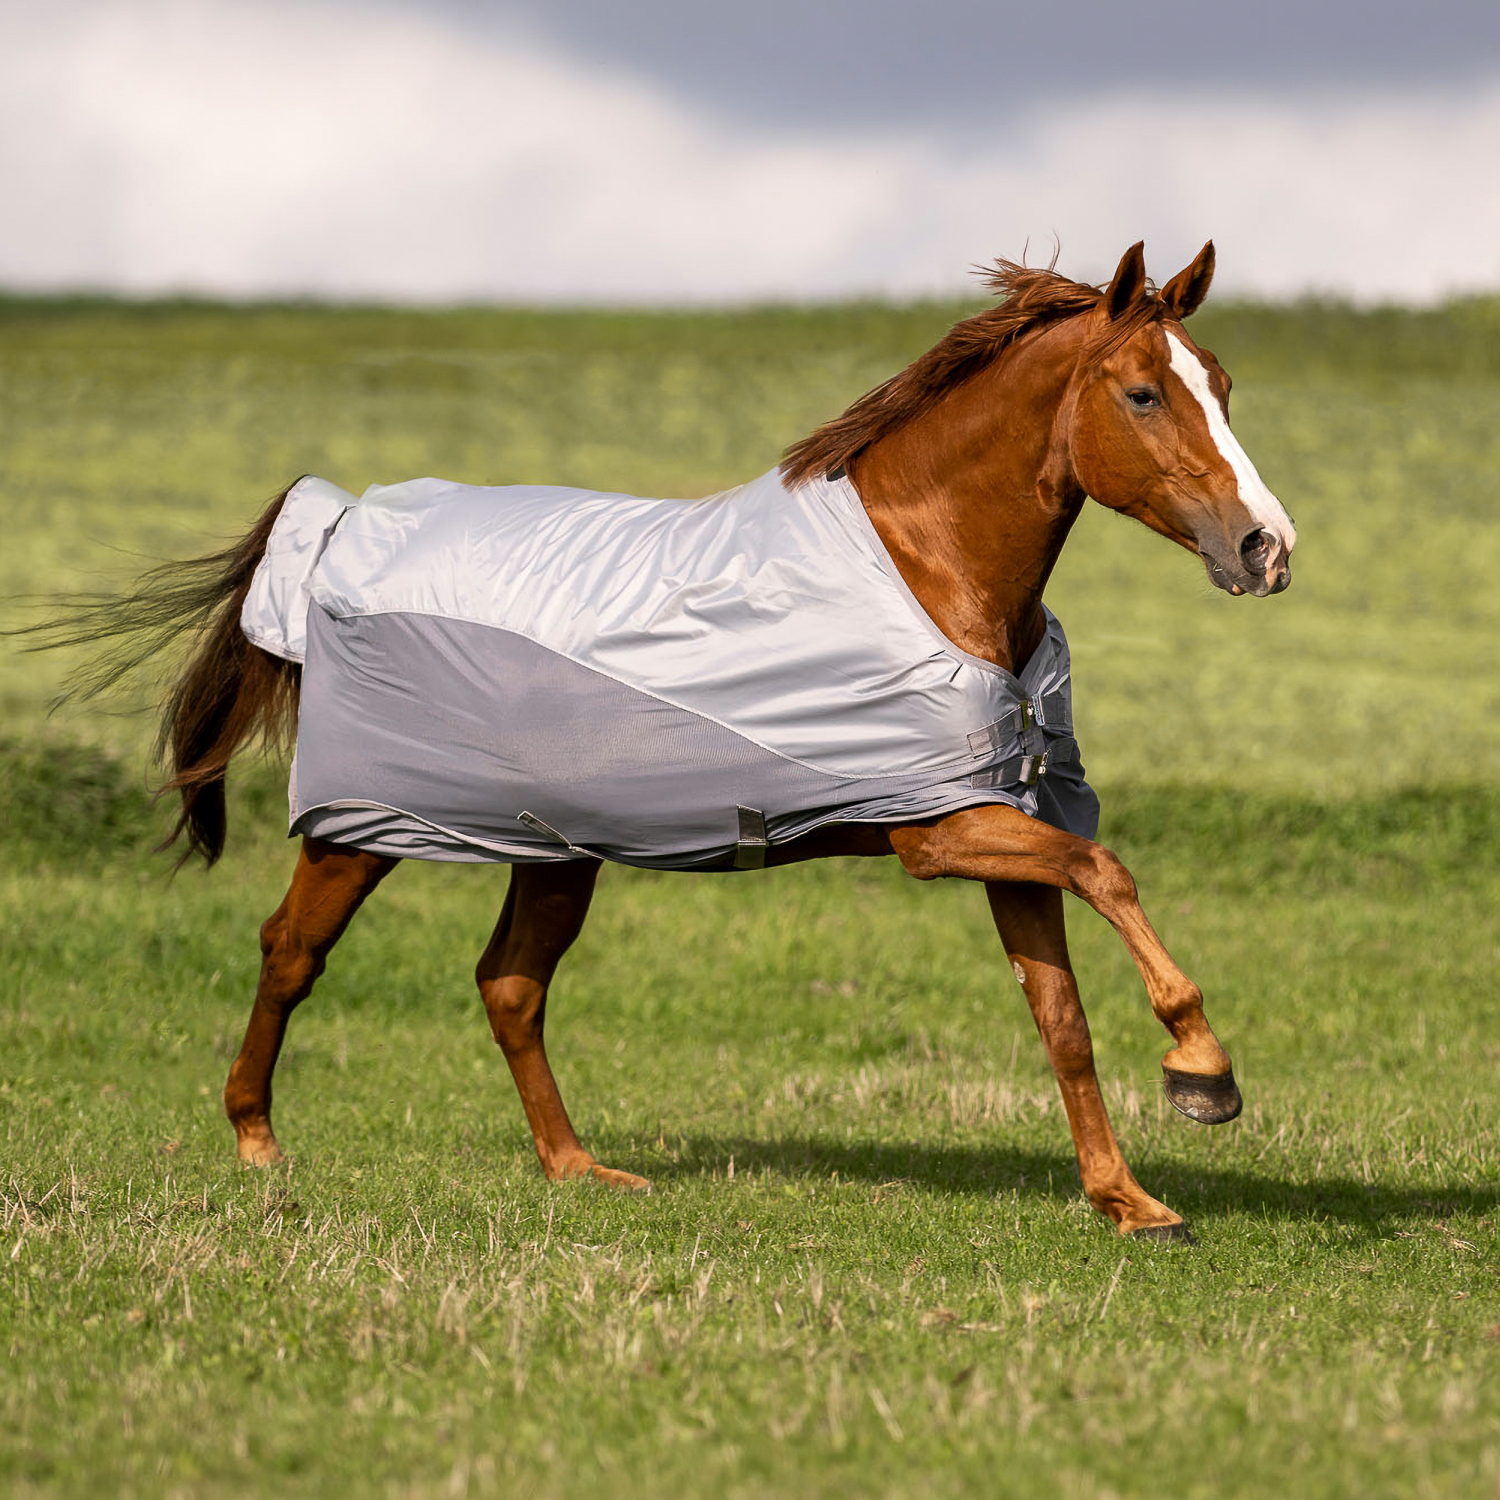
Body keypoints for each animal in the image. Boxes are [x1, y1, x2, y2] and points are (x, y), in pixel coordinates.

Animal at [52, 237, 1296, 1242]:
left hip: (552, 849)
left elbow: (1061, 1015)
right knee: (291, 953)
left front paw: (1129, 1201)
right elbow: (1109, 870)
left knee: (509, 986)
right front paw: (1204, 1074)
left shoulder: (1001, 821)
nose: (1265, 547)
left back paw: (578, 1170)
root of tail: (347, 519)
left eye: (1227, 386)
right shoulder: (940, 832)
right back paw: (257, 1141)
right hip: (362, 827)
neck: (929, 567)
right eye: (1142, 393)